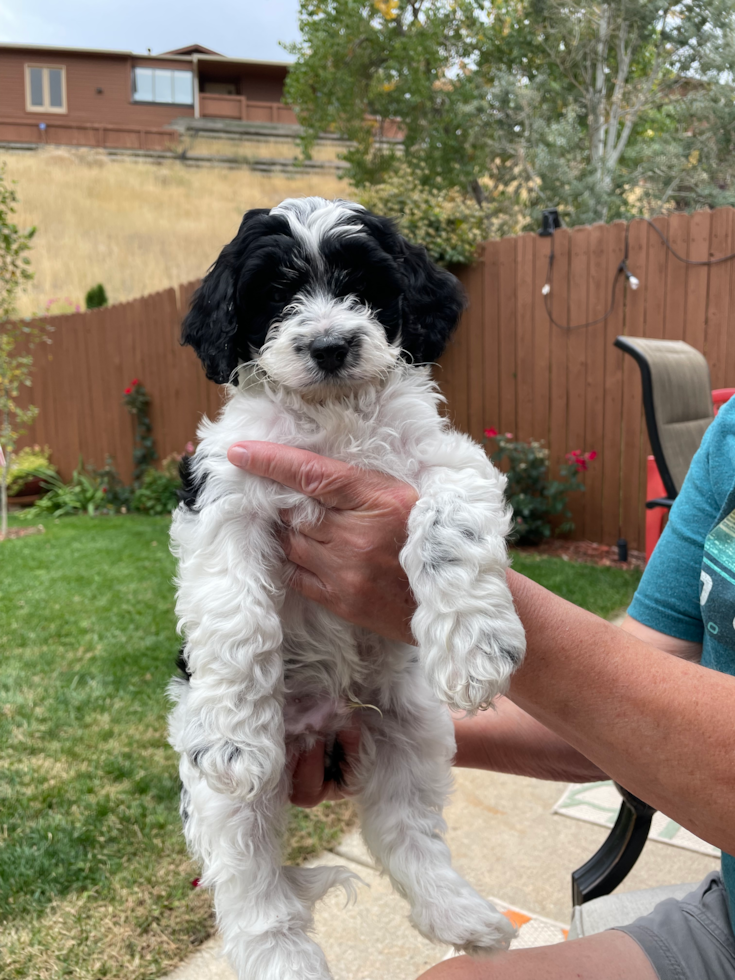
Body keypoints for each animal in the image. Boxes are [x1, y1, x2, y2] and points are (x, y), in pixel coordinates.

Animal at [170, 199, 528, 980]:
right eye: (275, 293)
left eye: (363, 285)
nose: (331, 345)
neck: (331, 416)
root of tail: (325, 726)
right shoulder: (227, 496)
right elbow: (237, 617)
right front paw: (232, 735)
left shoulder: (443, 458)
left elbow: (447, 522)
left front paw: (477, 646)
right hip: (228, 803)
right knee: (251, 889)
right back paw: (287, 961)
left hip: (412, 728)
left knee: (405, 832)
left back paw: (462, 916)